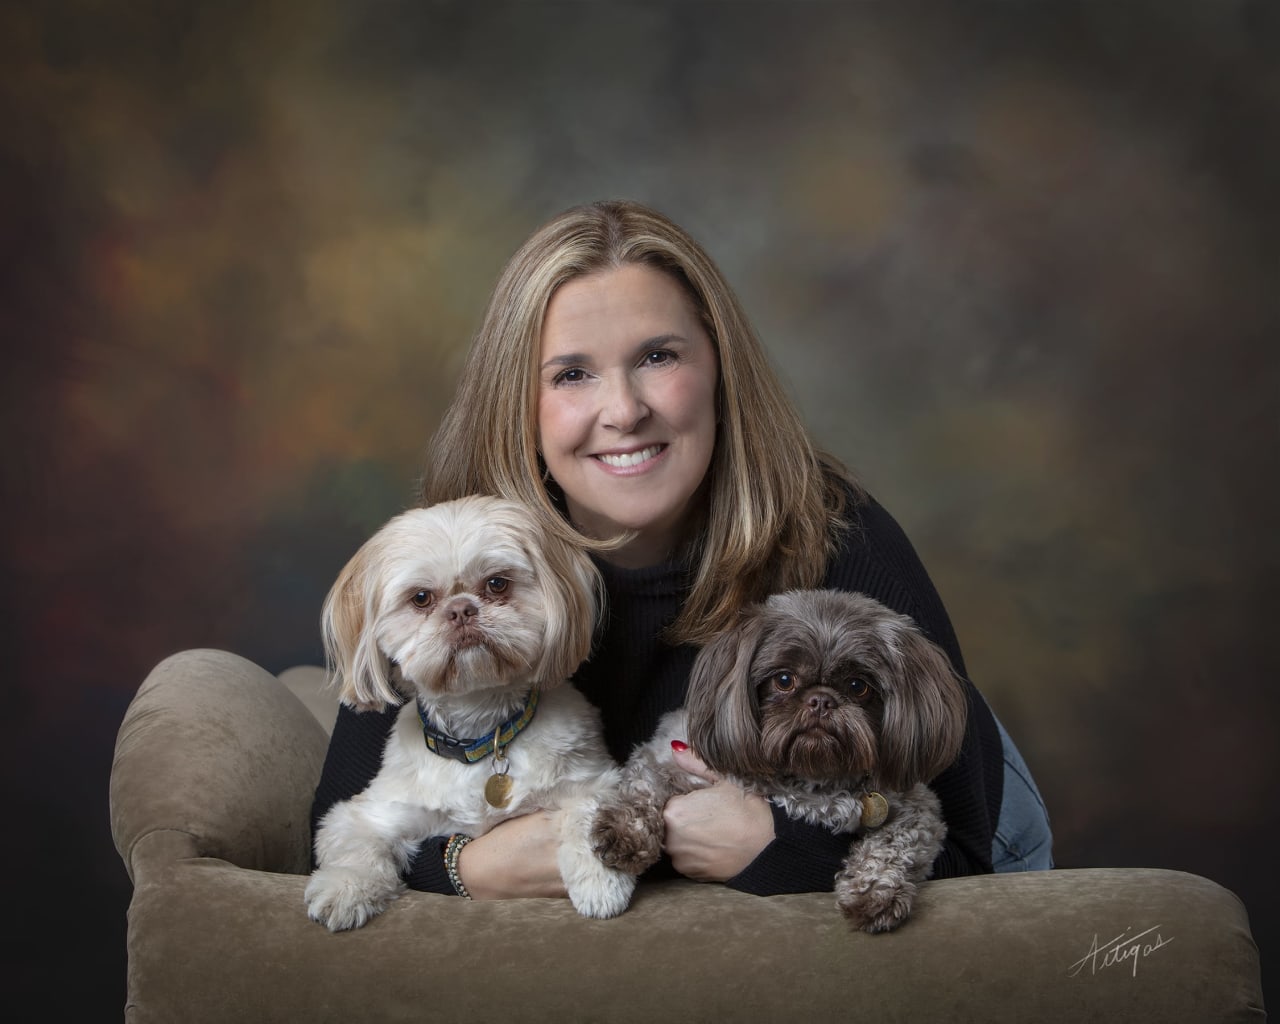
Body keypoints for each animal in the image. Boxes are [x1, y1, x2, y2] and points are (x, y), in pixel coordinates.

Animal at [304, 491, 634, 931]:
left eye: (496, 583)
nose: (461, 609)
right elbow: (355, 845)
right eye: (421, 598)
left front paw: (602, 882)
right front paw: (345, 888)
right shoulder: (371, 813)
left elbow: (586, 815)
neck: (480, 731)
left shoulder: (593, 781)